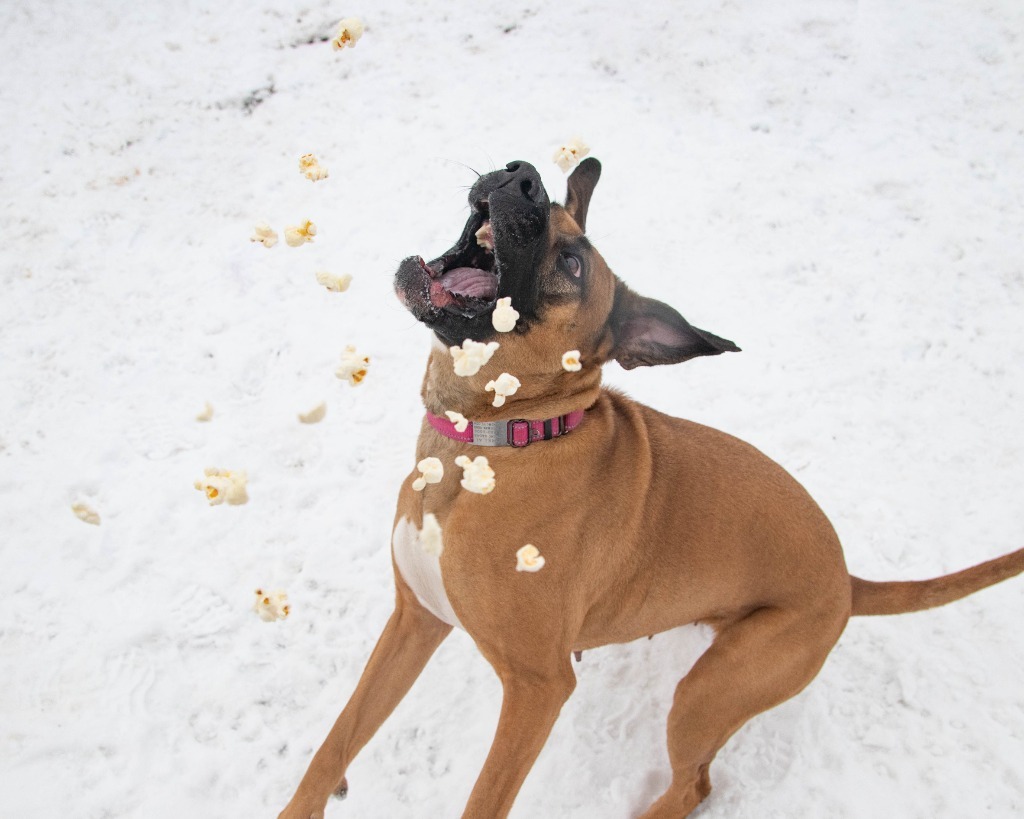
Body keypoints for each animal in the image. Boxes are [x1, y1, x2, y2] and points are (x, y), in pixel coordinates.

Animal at [278, 159, 1024, 818]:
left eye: (573, 266)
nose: (523, 175)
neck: (497, 438)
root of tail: (846, 580)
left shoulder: (538, 688)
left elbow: (484, 800)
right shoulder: (415, 618)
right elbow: (335, 742)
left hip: (711, 690)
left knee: (695, 786)